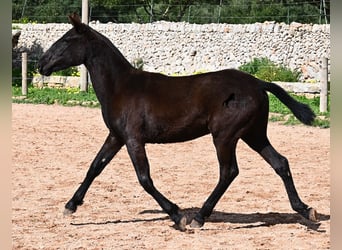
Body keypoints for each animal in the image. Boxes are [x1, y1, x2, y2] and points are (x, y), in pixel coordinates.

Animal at [38, 12, 318, 229]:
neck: (121, 87)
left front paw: (176, 214)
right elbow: (95, 167)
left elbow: (144, 178)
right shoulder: (116, 136)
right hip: (254, 134)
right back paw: (305, 209)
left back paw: (199, 217)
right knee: (280, 163)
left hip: (225, 136)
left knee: (229, 172)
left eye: (65, 40)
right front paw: (70, 205)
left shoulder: (133, 138)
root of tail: (259, 83)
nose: (41, 64)